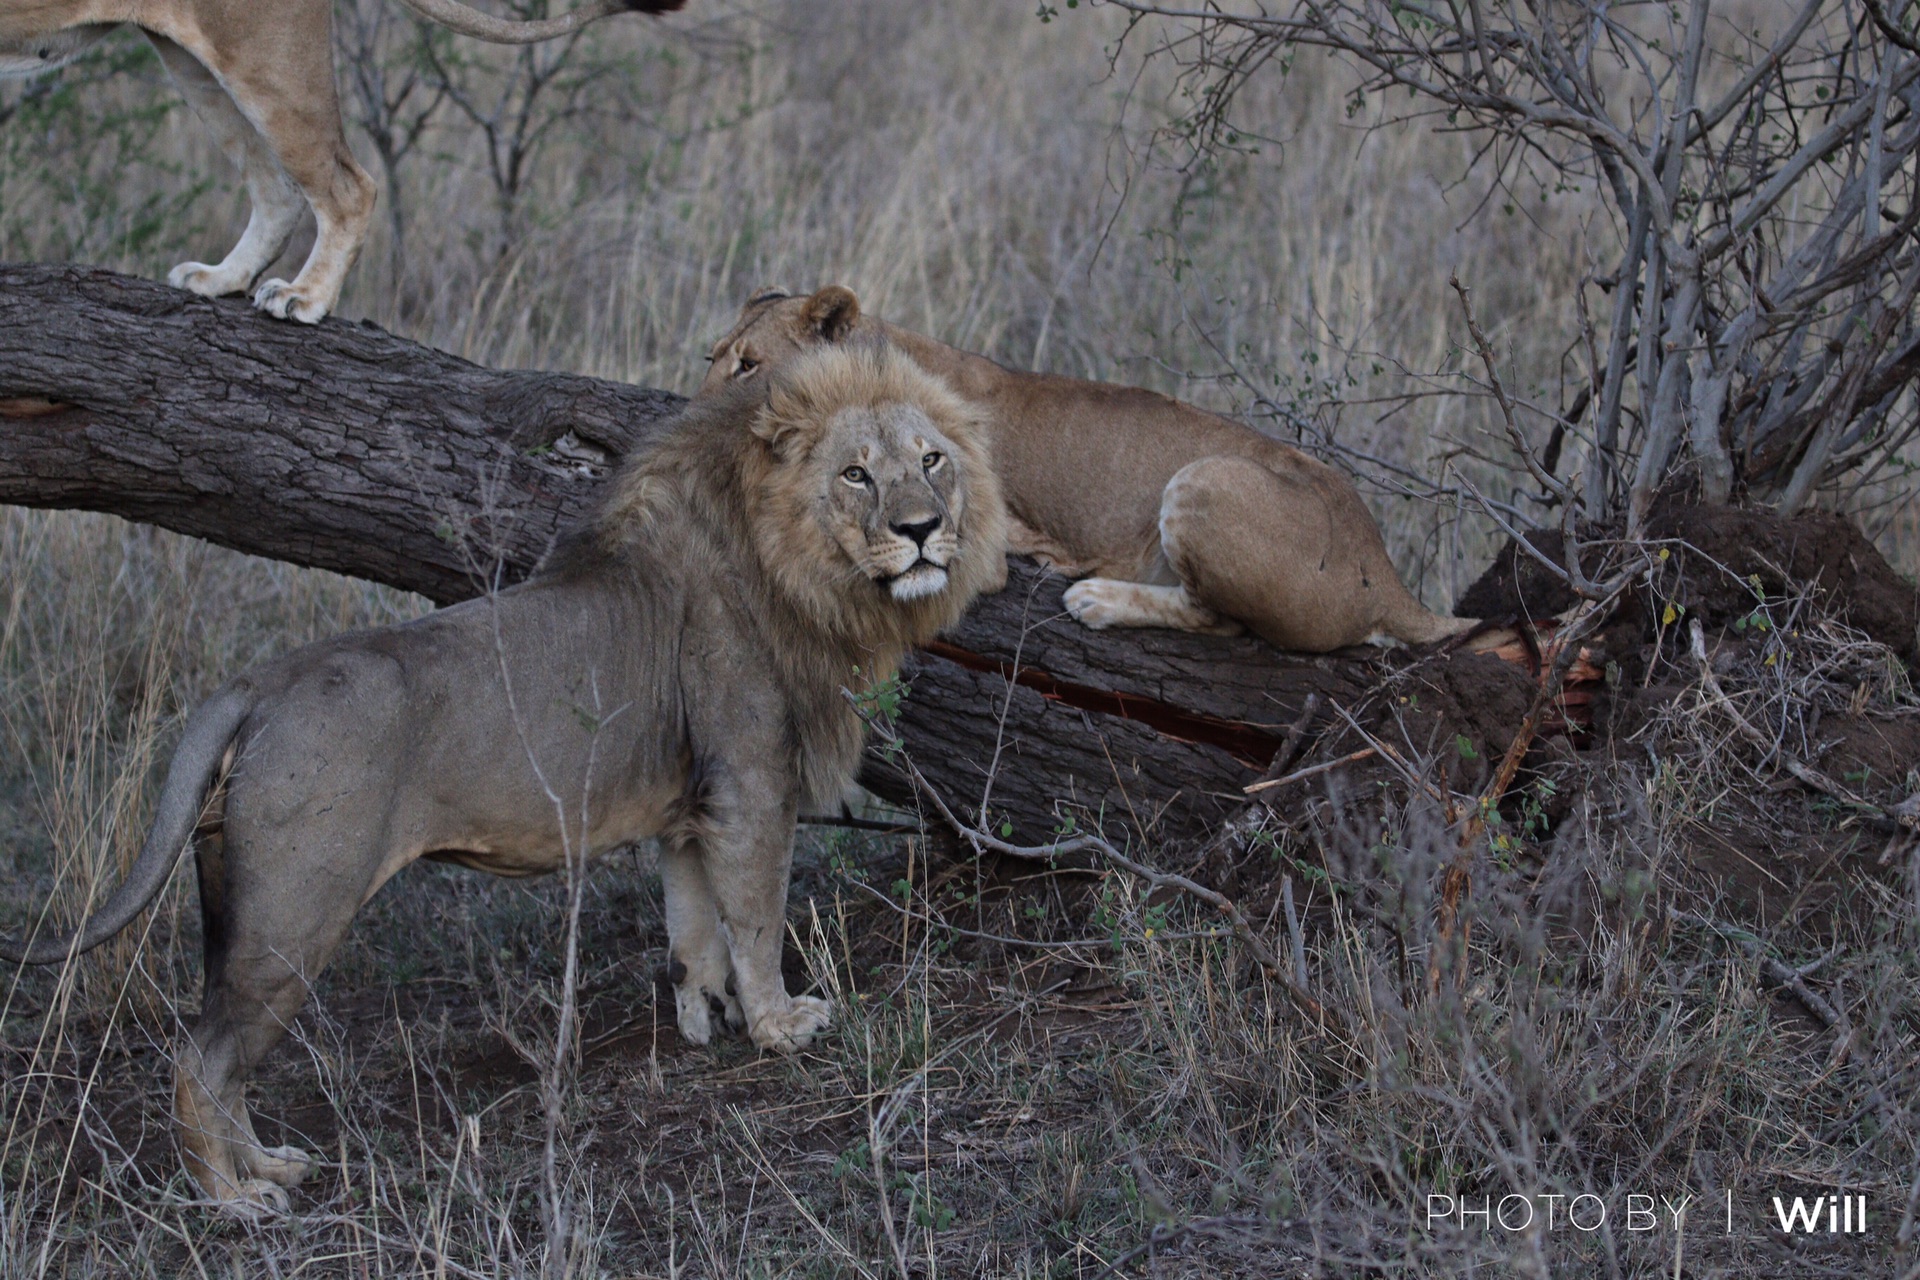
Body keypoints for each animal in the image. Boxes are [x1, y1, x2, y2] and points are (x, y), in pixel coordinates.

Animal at [0, 0, 691, 320]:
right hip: (191, 58)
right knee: (278, 189)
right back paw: (222, 279)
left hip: (264, 57)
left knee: (347, 185)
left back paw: (303, 298)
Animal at [0, 339, 1013, 1212]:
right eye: (856, 474)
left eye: (932, 460)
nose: (923, 532)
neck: (793, 565)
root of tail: (254, 685)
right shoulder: (752, 783)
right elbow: (757, 917)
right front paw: (780, 1024)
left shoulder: (691, 806)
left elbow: (693, 924)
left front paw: (705, 1019)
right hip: (294, 913)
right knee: (200, 1060)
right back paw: (234, 1200)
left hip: (233, 907)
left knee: (224, 1057)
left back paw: (273, 1166)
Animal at [706, 285, 1482, 656]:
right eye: (712, 355)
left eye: (749, 364)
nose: (695, 401)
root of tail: (1383, 570)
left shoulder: (969, 543)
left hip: (1204, 480)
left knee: (1221, 622)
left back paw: (1096, 597)